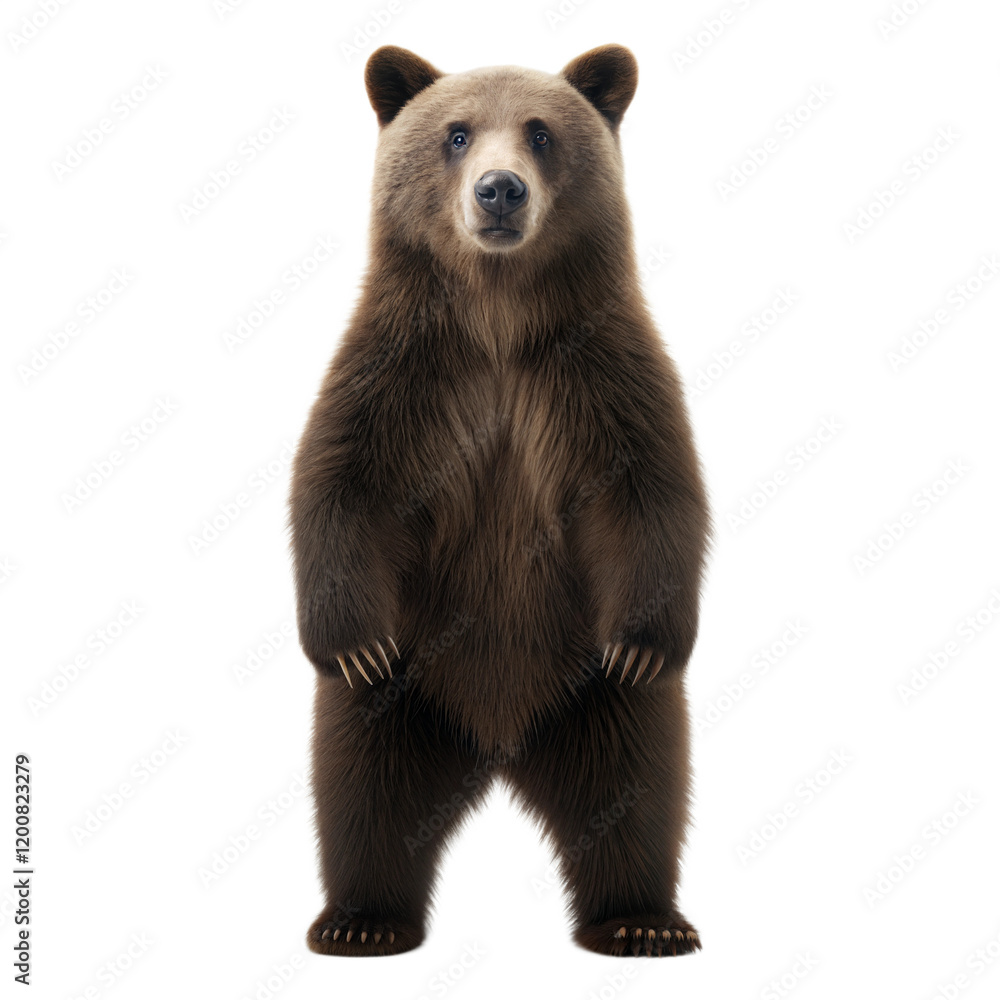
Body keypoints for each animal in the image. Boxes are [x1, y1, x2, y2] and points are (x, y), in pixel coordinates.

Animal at [289, 43, 710, 958]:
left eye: (541, 131)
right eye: (456, 132)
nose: (500, 190)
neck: (498, 319)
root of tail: (499, 742)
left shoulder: (599, 370)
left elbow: (654, 489)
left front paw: (644, 641)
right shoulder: (403, 370)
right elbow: (341, 481)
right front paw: (352, 643)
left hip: (594, 696)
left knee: (638, 788)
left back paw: (641, 920)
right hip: (407, 695)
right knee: (362, 787)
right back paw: (362, 920)